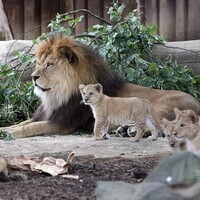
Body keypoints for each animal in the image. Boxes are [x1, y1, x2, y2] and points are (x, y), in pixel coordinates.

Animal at [1, 34, 200, 138]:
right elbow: (23, 122)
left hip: (159, 107)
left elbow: (30, 127)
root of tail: (197, 103)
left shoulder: (62, 124)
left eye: (49, 65)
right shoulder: (44, 115)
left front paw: (10, 133)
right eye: (38, 63)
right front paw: (5, 129)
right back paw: (124, 129)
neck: (56, 94)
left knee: (159, 128)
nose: (33, 77)